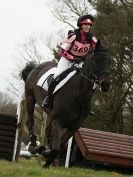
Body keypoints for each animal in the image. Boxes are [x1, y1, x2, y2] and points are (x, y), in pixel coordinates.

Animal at [19, 39, 111, 168]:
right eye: (96, 61)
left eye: (110, 62)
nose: (105, 84)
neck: (79, 95)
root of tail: (37, 66)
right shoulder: (58, 120)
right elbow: (56, 147)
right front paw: (44, 154)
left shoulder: (74, 127)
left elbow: (60, 147)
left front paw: (47, 160)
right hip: (30, 98)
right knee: (30, 121)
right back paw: (33, 146)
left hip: (49, 113)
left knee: (47, 132)